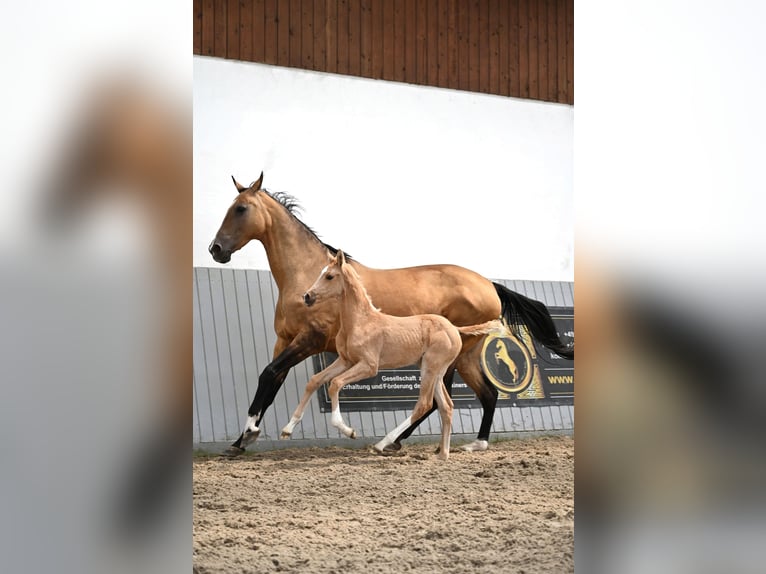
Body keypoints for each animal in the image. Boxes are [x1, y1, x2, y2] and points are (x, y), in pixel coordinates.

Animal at [282, 252, 504, 464]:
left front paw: (349, 431)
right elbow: (315, 380)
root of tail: (455, 329)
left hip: (430, 368)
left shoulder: (368, 365)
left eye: (329, 276)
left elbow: (335, 383)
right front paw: (287, 429)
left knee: (424, 404)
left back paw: (382, 444)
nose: (307, 296)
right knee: (446, 406)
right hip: (436, 371)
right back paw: (443, 454)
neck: (360, 321)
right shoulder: (345, 361)